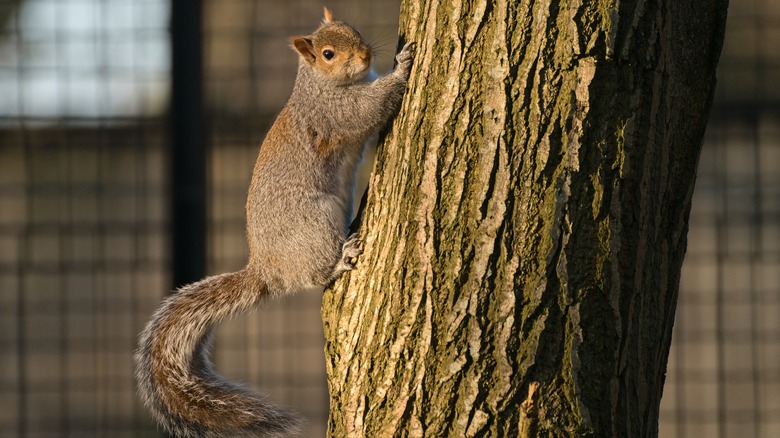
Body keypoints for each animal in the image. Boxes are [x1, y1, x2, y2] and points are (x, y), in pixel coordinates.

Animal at [134, 8, 418, 436]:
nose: (367, 55)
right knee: (314, 275)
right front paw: (401, 67)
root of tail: (267, 269)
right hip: (315, 222)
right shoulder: (333, 113)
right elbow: (368, 109)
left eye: (354, 30)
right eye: (328, 54)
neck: (319, 83)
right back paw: (340, 259)